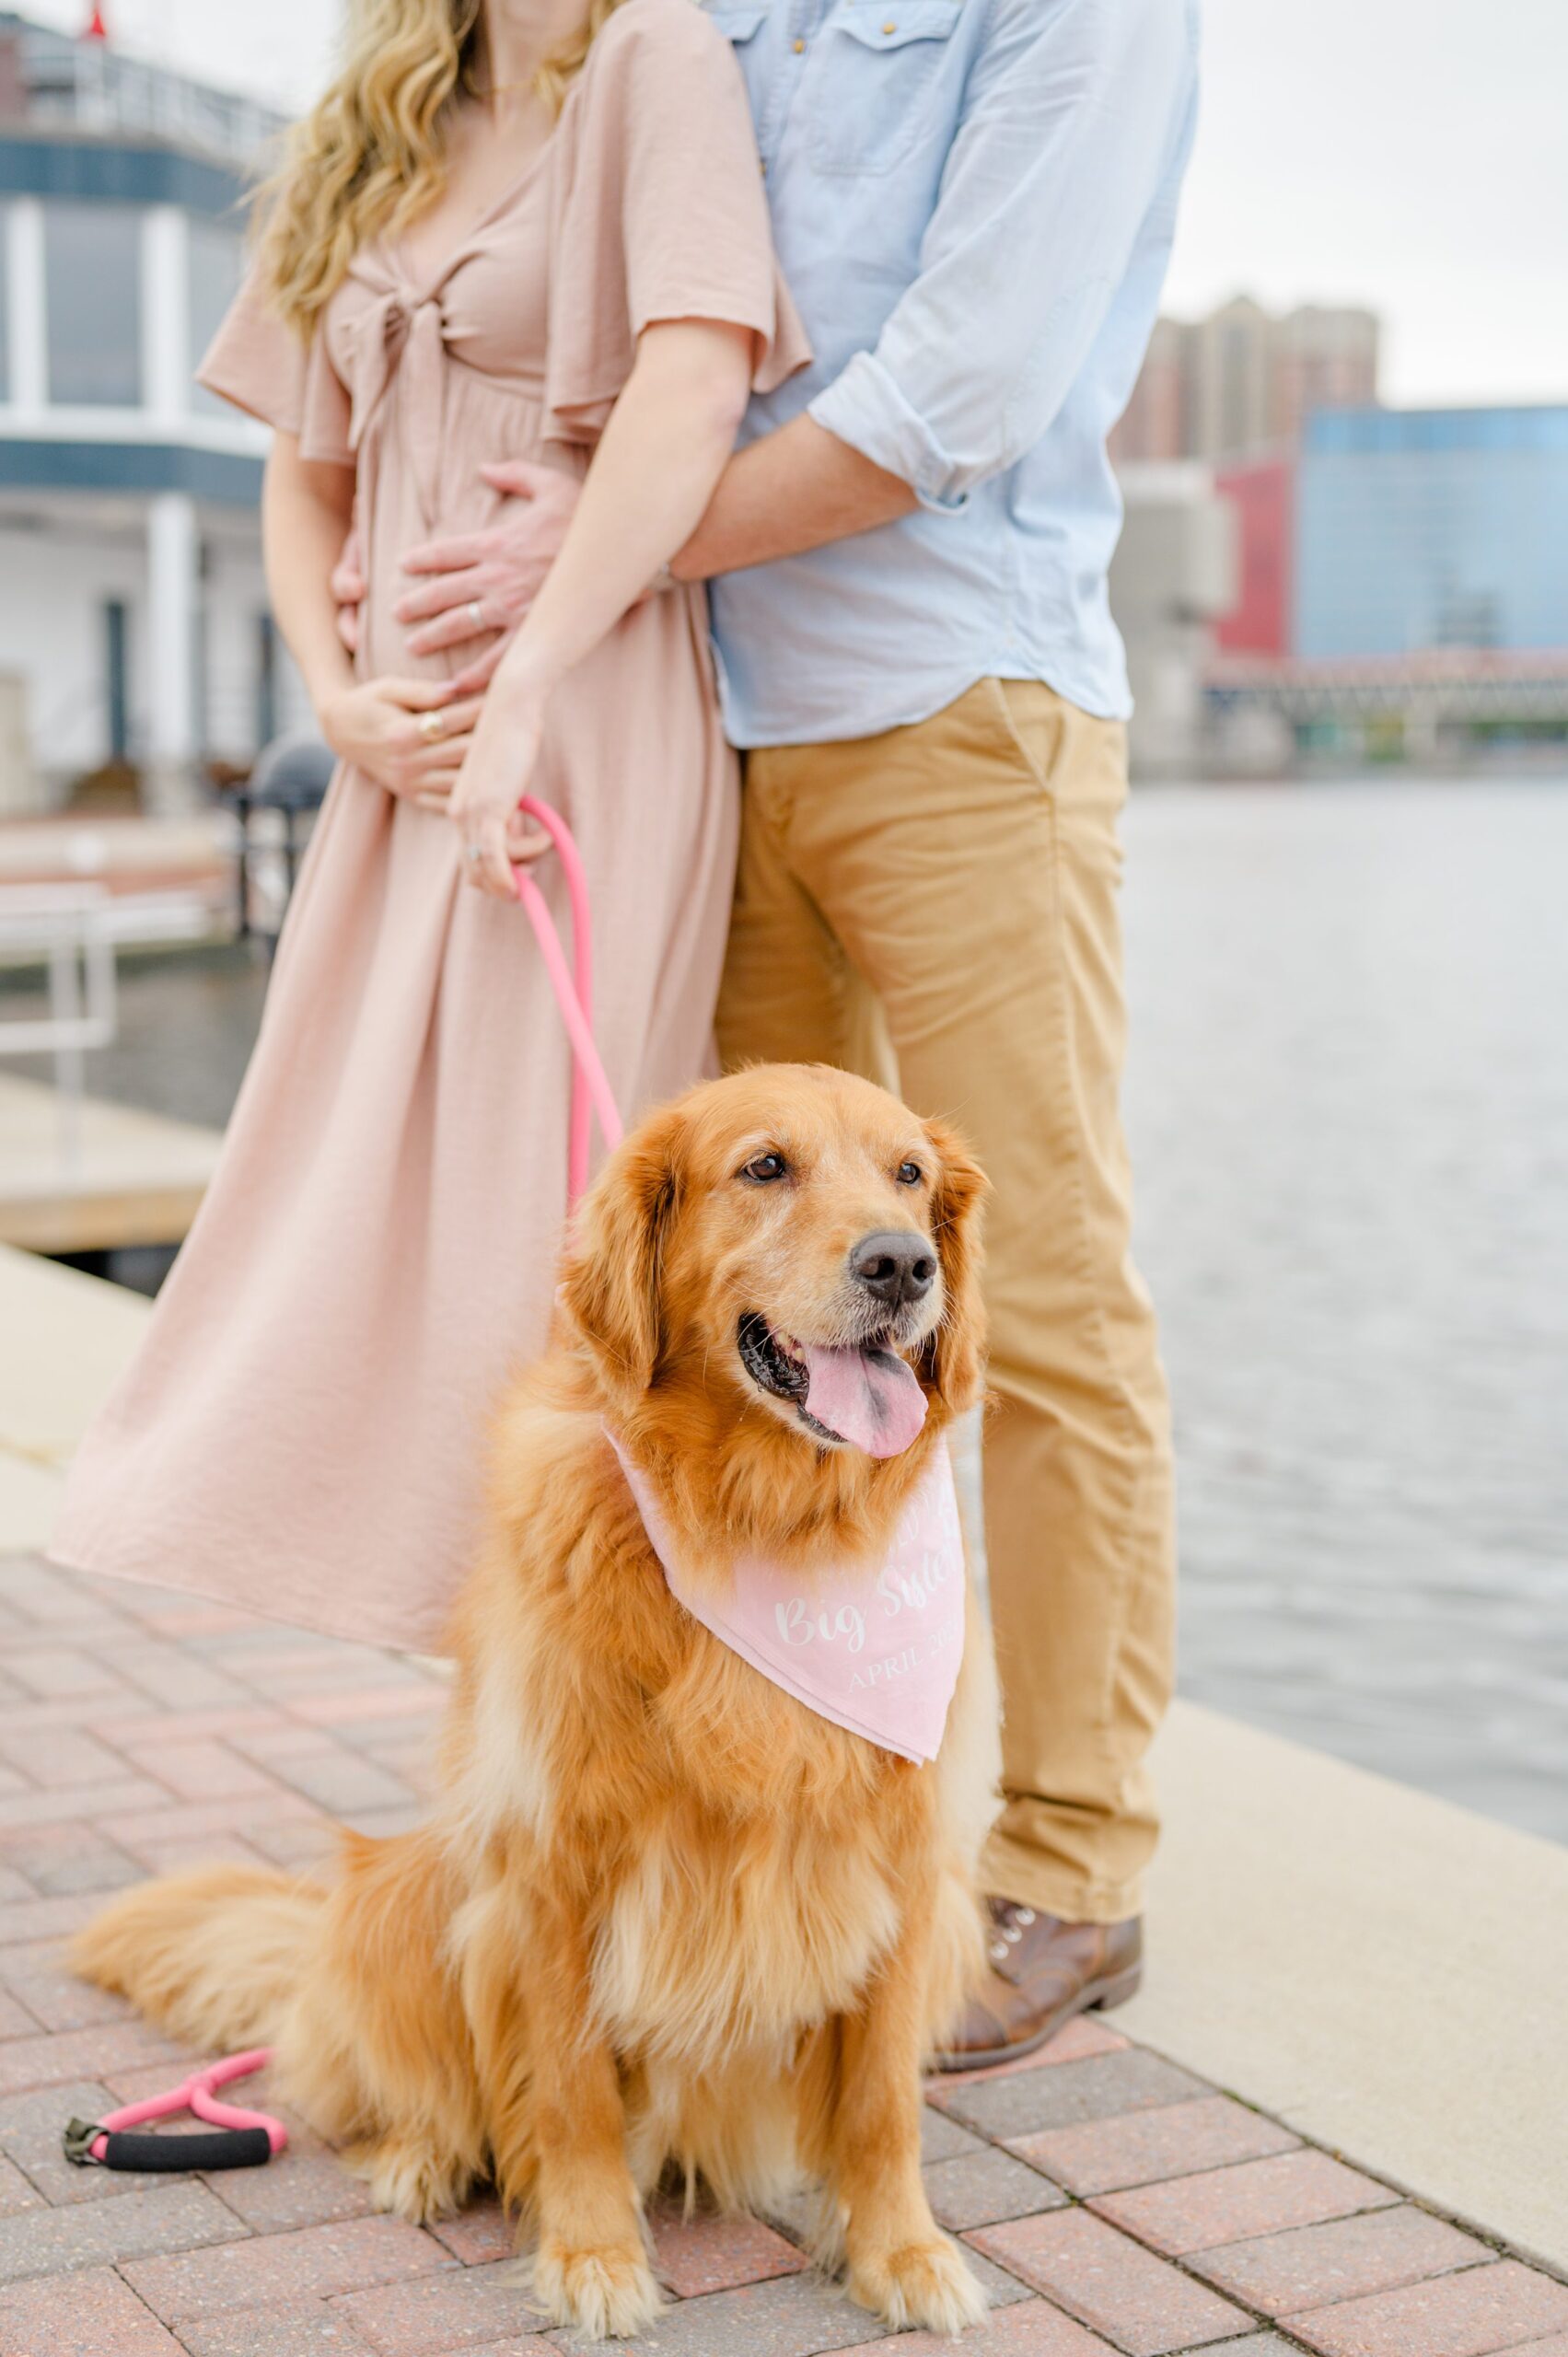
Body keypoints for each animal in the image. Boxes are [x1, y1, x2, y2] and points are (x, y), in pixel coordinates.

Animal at [73, 1065, 994, 2338]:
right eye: (764, 1167)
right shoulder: (551, 1862)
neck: (760, 1526)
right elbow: (569, 2092)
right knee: (405, 2082)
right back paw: (420, 2159)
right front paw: (594, 2254)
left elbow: (880, 2100)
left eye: (908, 1173)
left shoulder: (906, 1866)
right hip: (411, 1888)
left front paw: (901, 2252)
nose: (900, 1265)